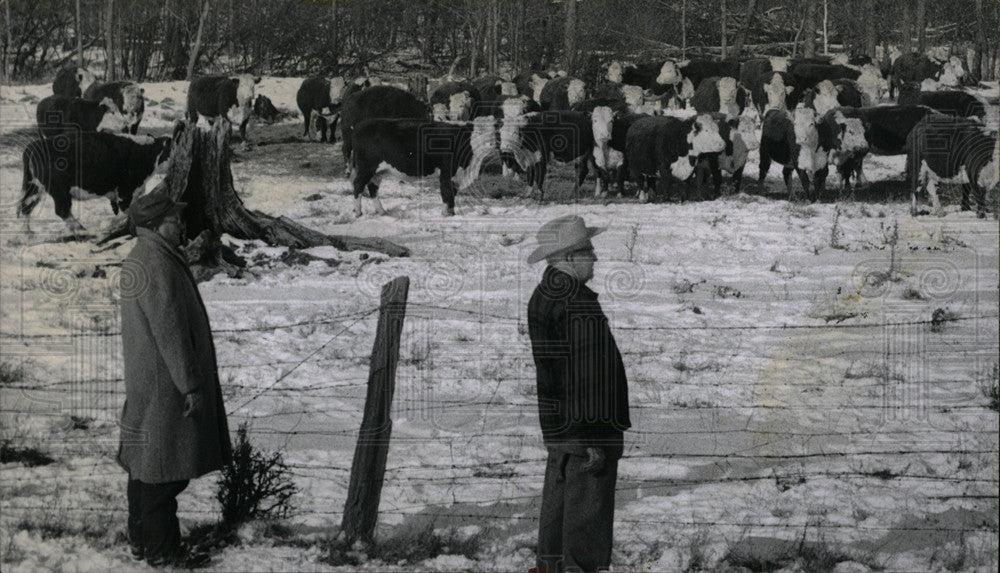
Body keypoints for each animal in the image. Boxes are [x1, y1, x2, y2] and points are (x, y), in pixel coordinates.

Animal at [18, 133, 172, 233]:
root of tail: (35, 145)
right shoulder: (125, 191)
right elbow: (129, 211)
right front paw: (107, 224)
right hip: (60, 190)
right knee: (61, 210)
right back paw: (81, 230)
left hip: (36, 187)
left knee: (26, 206)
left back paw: (27, 234)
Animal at [350, 116, 498, 217]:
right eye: (477, 133)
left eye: (493, 131)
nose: (490, 145)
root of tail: (360, 125)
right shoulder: (446, 172)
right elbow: (447, 192)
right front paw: (446, 215)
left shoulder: (457, 176)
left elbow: (453, 194)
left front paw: (451, 213)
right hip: (366, 167)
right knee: (358, 184)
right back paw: (358, 213)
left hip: (378, 171)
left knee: (373, 188)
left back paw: (381, 211)